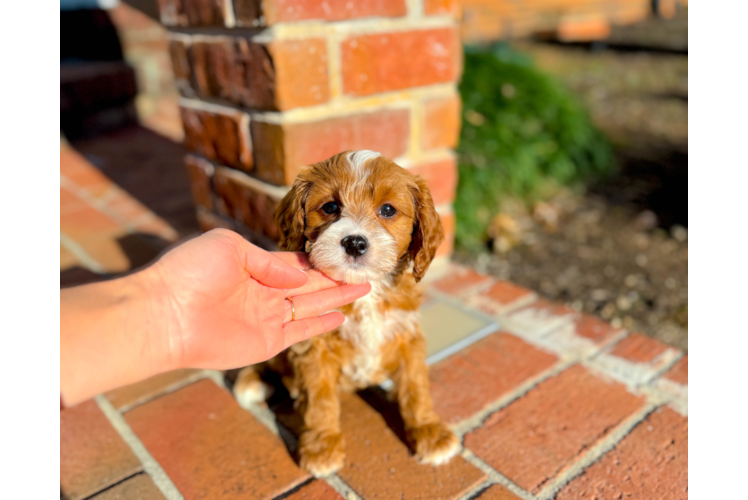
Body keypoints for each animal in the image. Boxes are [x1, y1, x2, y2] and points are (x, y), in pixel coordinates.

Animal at [234, 149, 458, 476]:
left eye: (388, 210)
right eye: (330, 207)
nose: (354, 242)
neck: (367, 289)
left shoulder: (406, 334)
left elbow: (416, 385)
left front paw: (429, 431)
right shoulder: (314, 346)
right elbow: (320, 399)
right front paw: (322, 447)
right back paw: (253, 381)